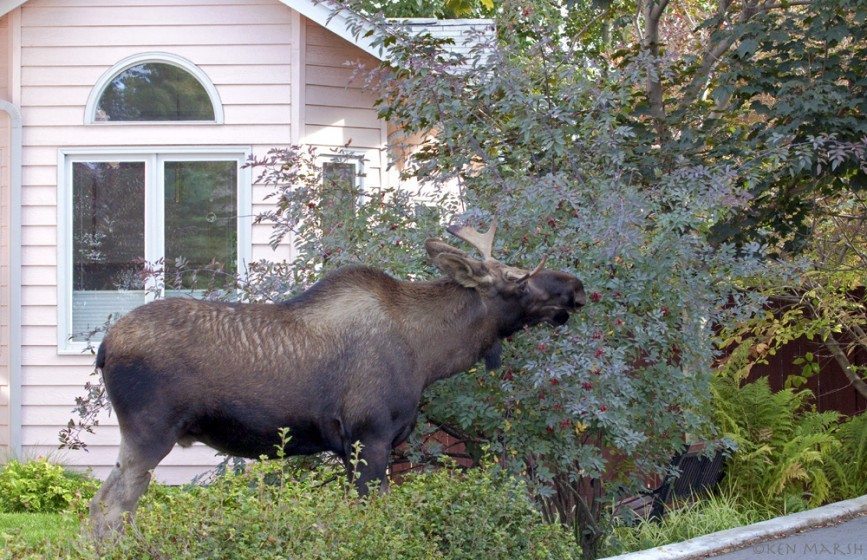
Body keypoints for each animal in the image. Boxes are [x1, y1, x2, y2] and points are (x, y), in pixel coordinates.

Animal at [88, 221, 588, 536]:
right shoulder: (371, 436)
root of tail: (104, 348)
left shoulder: (350, 449)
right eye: (518, 281)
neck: (429, 354)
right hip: (150, 432)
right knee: (110, 509)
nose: (577, 287)